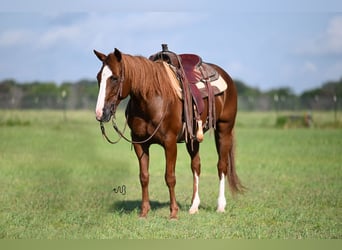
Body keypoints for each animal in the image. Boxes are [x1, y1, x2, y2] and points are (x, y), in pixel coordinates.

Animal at [93, 47, 243, 219]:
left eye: (115, 78)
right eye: (98, 77)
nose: (100, 113)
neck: (152, 100)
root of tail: (226, 76)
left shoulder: (170, 143)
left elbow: (170, 177)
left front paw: (173, 213)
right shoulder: (140, 143)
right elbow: (144, 176)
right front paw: (144, 212)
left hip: (224, 129)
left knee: (222, 165)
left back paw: (221, 205)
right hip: (193, 138)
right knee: (196, 166)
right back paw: (194, 206)